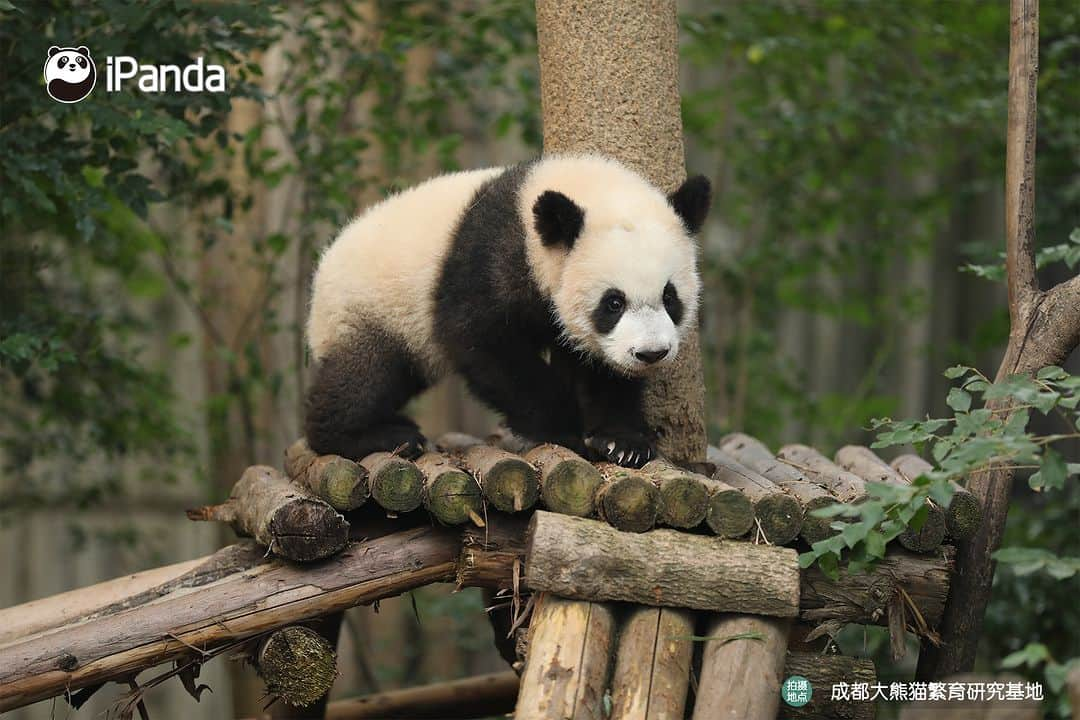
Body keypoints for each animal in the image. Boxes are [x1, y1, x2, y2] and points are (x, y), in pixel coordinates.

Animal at [304, 153, 708, 468]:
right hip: (371, 308)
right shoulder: (491, 260)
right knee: (367, 375)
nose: (651, 353)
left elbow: (603, 369)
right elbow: (485, 345)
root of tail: (323, 270)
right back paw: (374, 435)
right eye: (613, 302)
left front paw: (622, 442)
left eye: (669, 297)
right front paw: (566, 428)